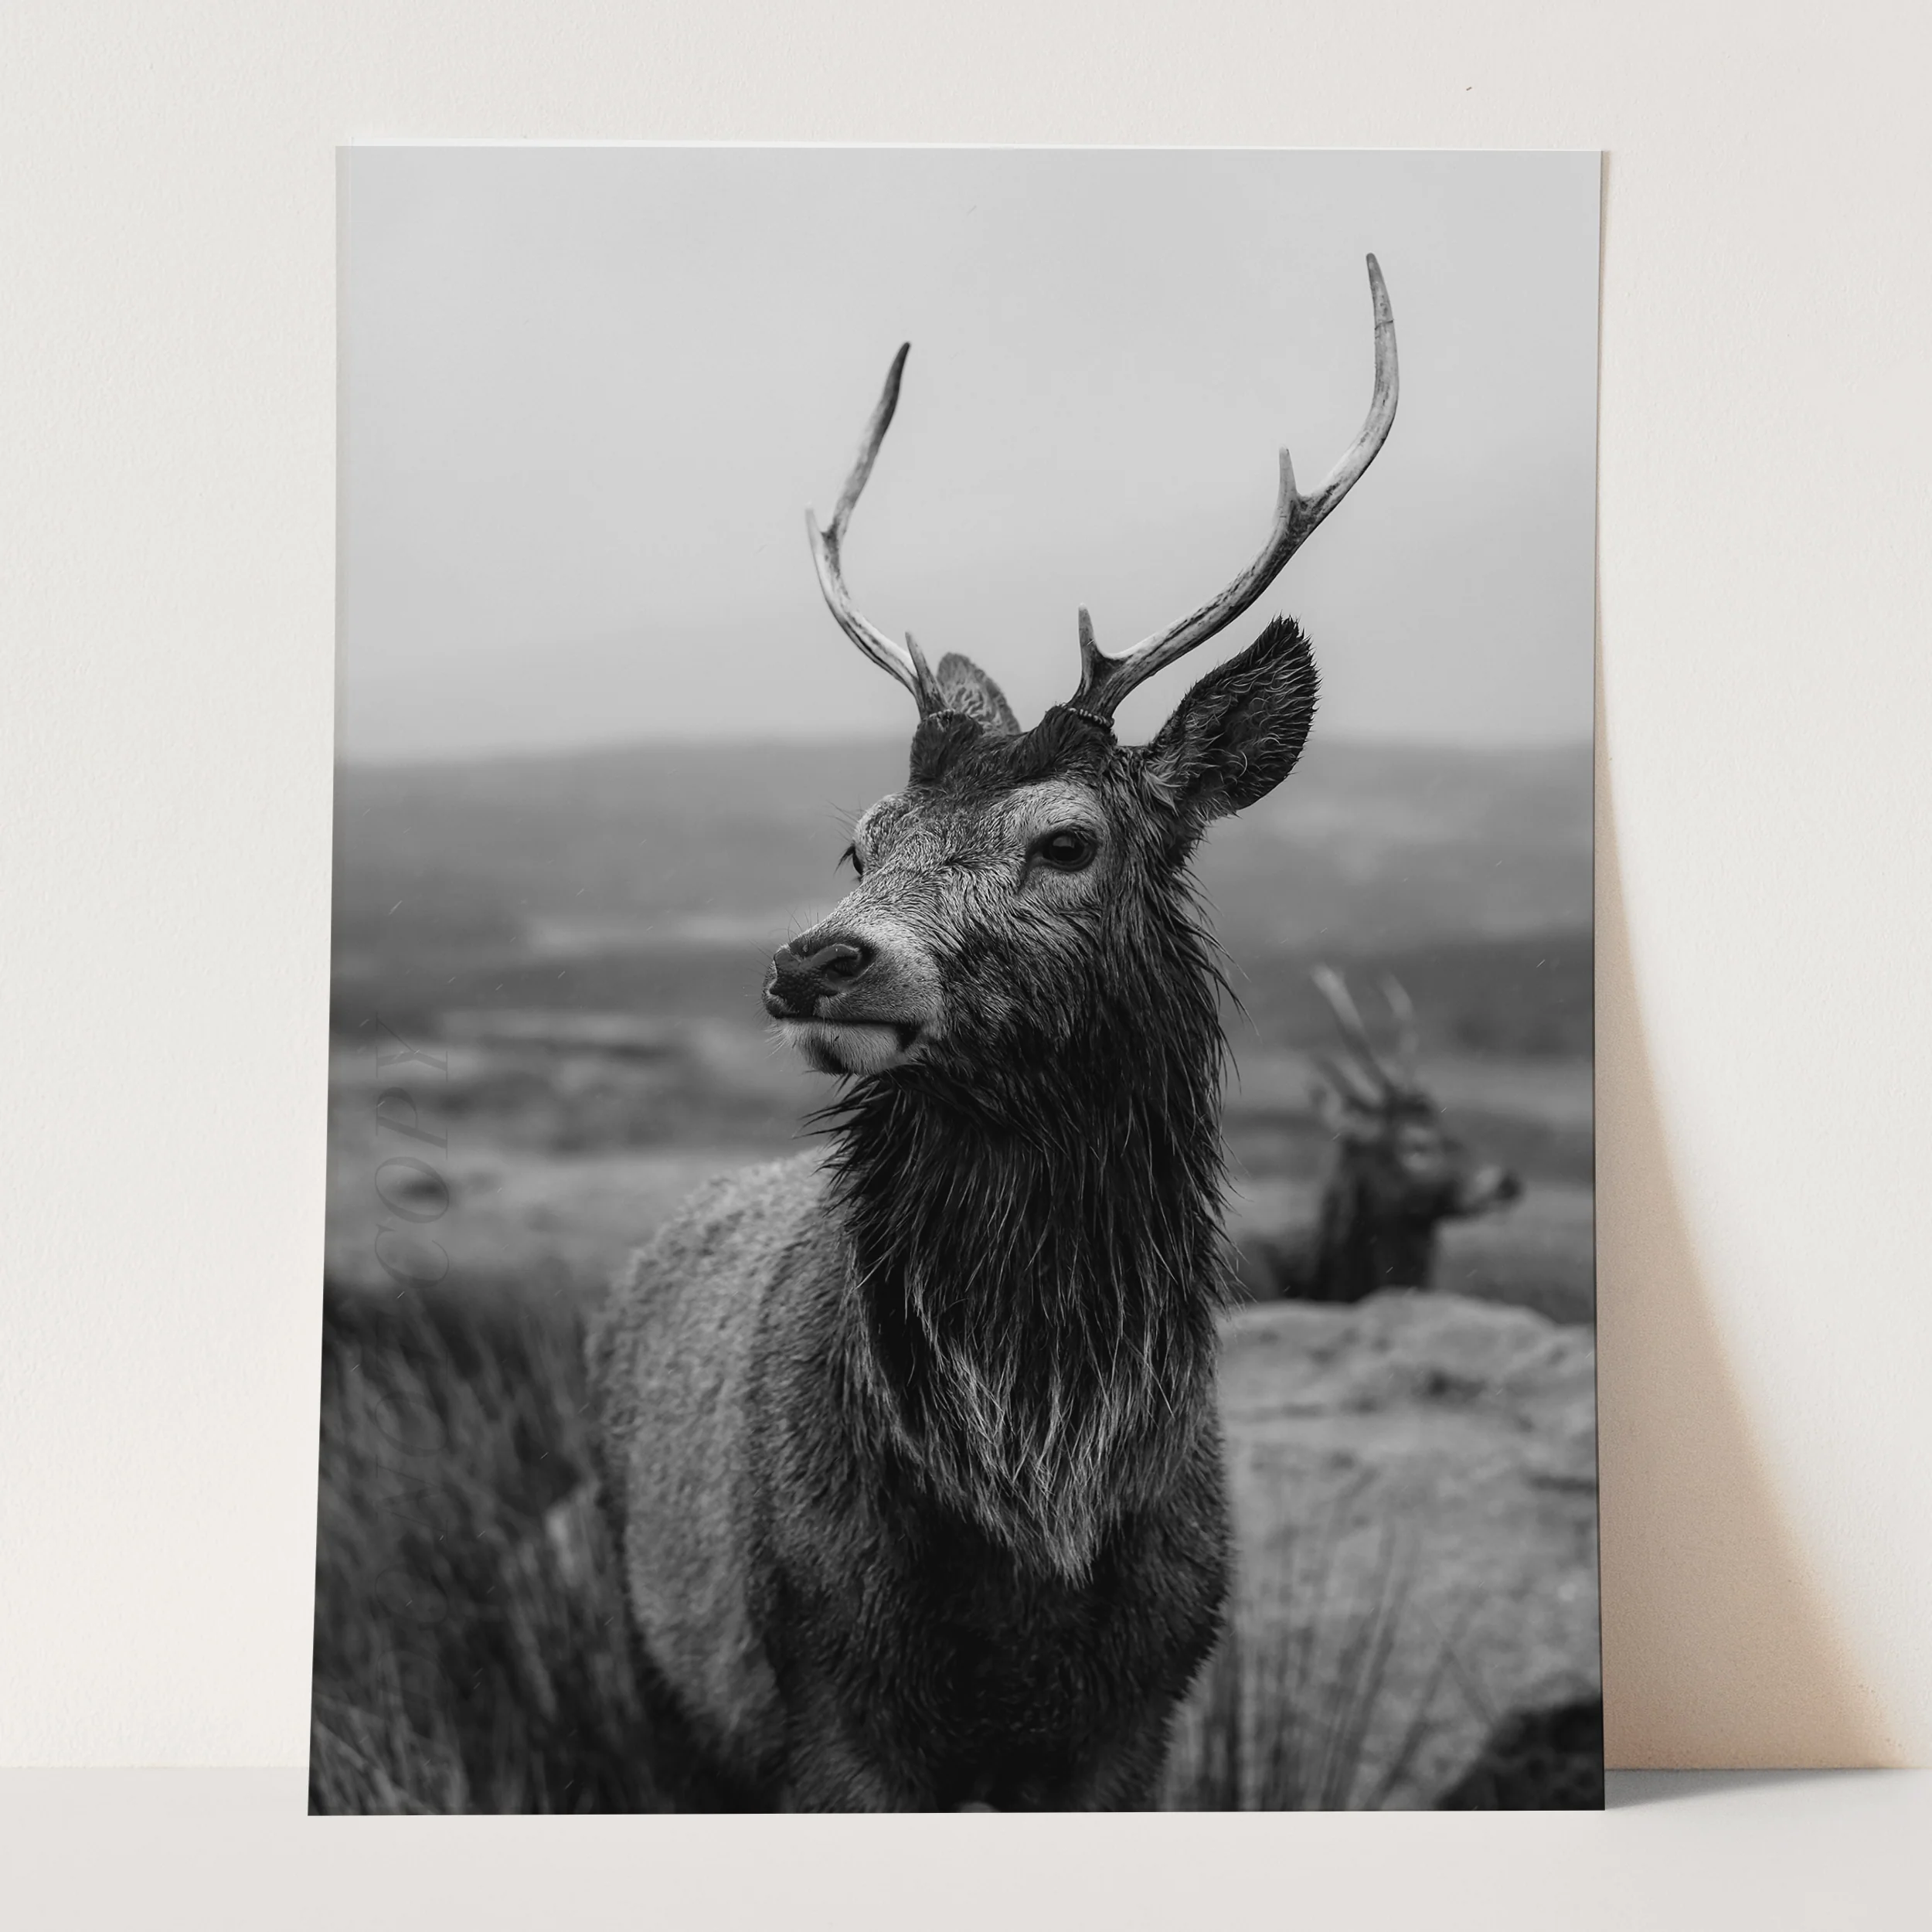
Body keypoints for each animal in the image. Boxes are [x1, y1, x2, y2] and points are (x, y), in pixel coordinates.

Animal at [587, 258, 1398, 1811]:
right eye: (861, 838)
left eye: (1068, 840)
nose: (815, 960)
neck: (1036, 1516)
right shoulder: (824, 1697)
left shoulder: (1139, 1713)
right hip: (651, 1660)